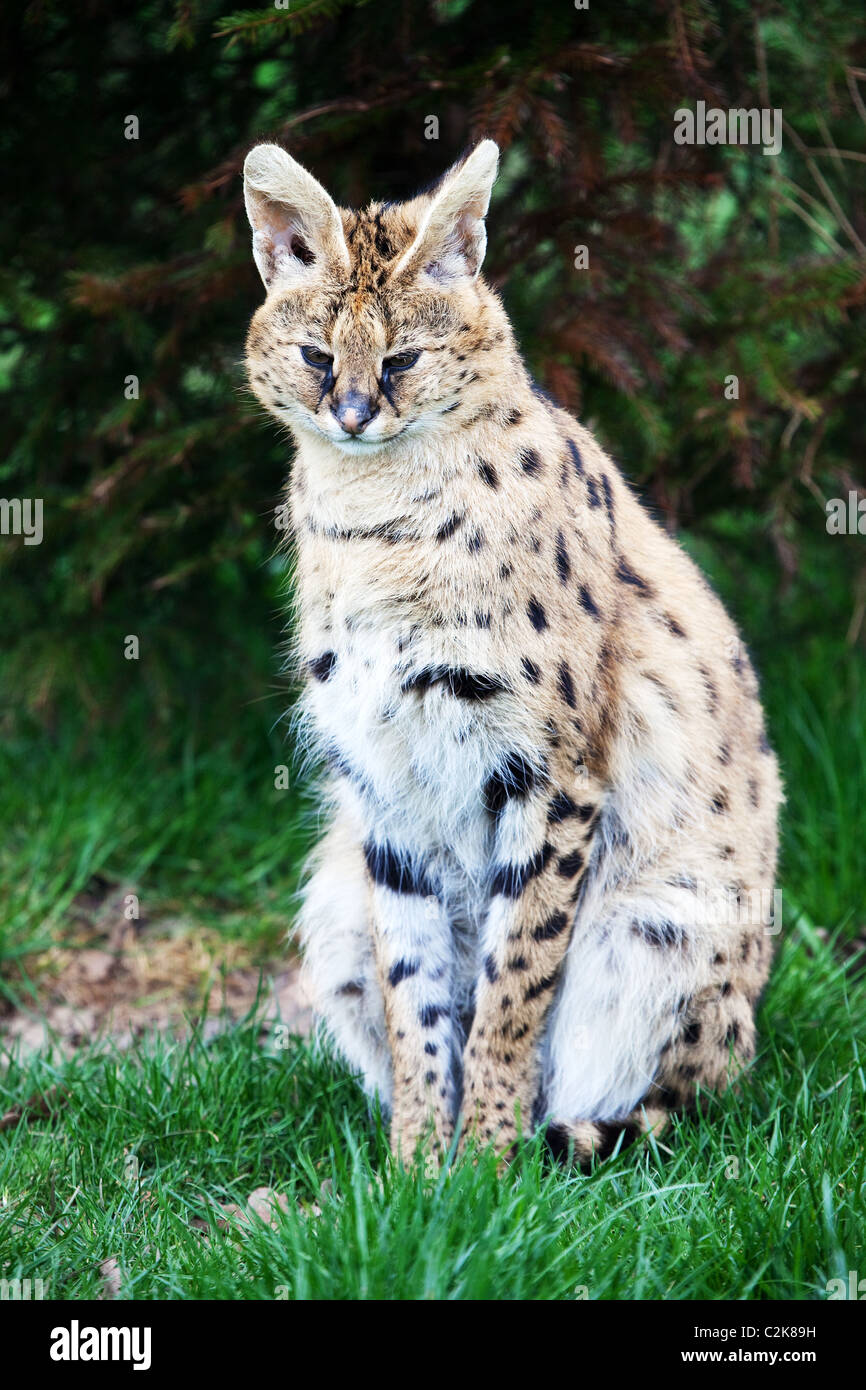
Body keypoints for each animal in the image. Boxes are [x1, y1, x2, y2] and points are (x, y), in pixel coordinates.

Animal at [240, 138, 783, 1162]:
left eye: (404, 359)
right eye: (317, 356)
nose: (353, 412)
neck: (370, 513)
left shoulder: (553, 769)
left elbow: (514, 979)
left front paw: (486, 1162)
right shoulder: (384, 777)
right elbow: (416, 988)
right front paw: (419, 1163)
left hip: (669, 917)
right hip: (331, 896)